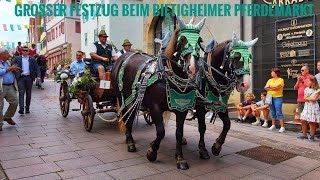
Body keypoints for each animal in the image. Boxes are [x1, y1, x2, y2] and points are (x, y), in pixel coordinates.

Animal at [111, 17, 206, 170]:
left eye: (199, 41)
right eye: (182, 39)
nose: (192, 68)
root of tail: (126, 54)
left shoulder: (182, 109)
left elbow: (179, 133)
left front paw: (180, 158)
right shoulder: (155, 107)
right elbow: (161, 131)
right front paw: (152, 152)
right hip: (122, 96)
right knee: (127, 116)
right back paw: (130, 142)